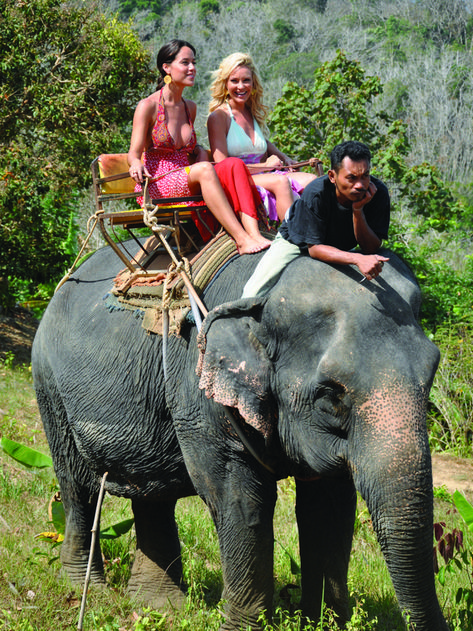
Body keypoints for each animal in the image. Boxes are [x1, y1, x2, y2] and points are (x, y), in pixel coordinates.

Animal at [32, 239, 446, 628]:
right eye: (331, 395)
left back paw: (158, 605)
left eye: (431, 375)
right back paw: (87, 588)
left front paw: (326, 623)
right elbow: (238, 496)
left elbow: (328, 505)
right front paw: (244, 626)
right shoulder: (198, 384)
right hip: (49, 384)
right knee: (77, 486)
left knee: (152, 493)